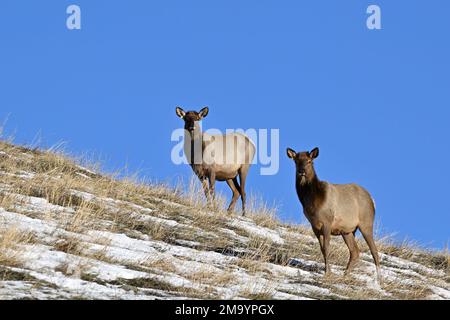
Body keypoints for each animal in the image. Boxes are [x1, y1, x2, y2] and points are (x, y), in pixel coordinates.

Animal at [286, 146, 382, 282]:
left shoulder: (327, 222)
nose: (301, 171)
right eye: (296, 161)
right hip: (347, 231)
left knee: (374, 250)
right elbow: (322, 249)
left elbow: (327, 248)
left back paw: (379, 279)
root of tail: (372, 200)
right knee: (355, 251)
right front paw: (329, 271)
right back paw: (345, 274)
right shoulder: (314, 226)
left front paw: (327, 272)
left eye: (310, 161)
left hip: (366, 223)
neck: (312, 203)